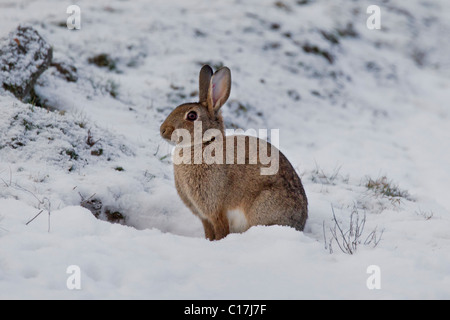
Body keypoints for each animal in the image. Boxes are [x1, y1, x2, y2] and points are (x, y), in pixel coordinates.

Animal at [160, 65, 308, 240]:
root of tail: (300, 223)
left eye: (191, 115)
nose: (163, 130)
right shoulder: (203, 215)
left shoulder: (215, 208)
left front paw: (218, 242)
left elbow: (221, 230)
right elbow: (208, 231)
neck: (204, 144)